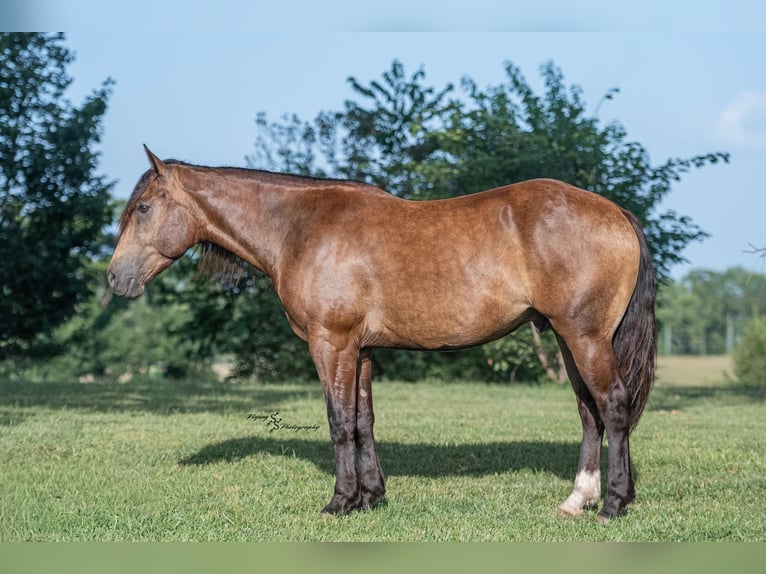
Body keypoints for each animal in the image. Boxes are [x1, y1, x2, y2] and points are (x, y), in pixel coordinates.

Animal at [108, 146, 656, 522]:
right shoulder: (362, 350)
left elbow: (338, 422)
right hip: (567, 339)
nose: (115, 278)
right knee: (589, 414)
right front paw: (370, 497)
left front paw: (339, 501)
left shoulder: (331, 343)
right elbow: (364, 421)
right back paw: (578, 500)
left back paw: (612, 505)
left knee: (613, 407)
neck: (300, 229)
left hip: (585, 338)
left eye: (143, 209)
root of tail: (616, 213)